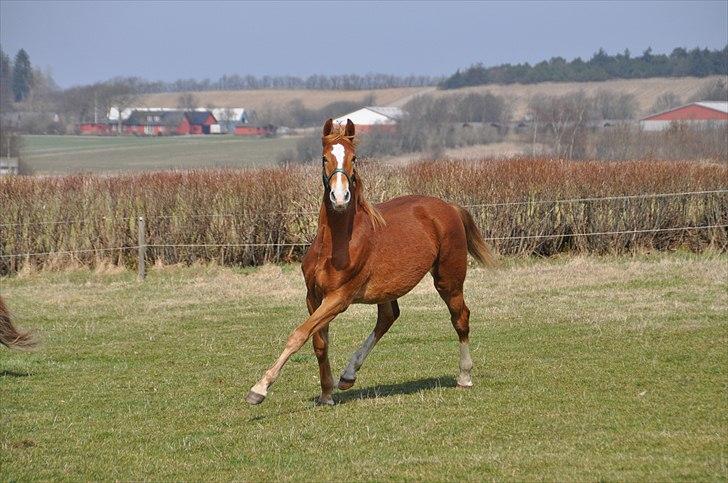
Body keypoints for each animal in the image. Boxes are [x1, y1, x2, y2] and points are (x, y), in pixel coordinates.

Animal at [245, 119, 494, 406]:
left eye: (354, 158)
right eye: (324, 157)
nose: (339, 197)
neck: (335, 245)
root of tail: (450, 207)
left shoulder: (338, 298)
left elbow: (299, 334)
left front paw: (259, 389)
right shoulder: (313, 296)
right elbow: (318, 342)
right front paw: (326, 393)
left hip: (448, 280)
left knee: (460, 317)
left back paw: (464, 376)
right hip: (387, 288)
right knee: (388, 317)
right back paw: (348, 375)